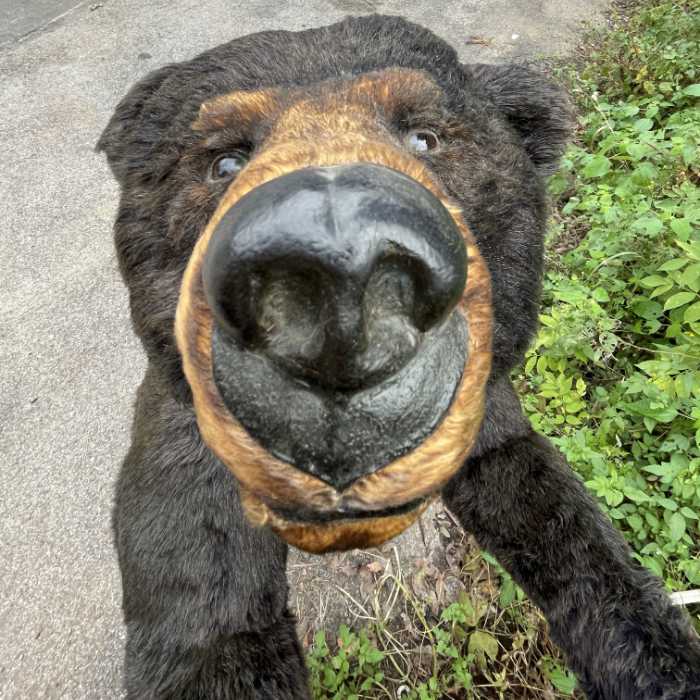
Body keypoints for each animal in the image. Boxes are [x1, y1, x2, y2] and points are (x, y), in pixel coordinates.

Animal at [97, 14, 700, 700]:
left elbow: (553, 512)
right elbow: (208, 608)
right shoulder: (194, 446)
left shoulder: (478, 402)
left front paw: (658, 659)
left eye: (424, 136)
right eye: (223, 160)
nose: (339, 281)